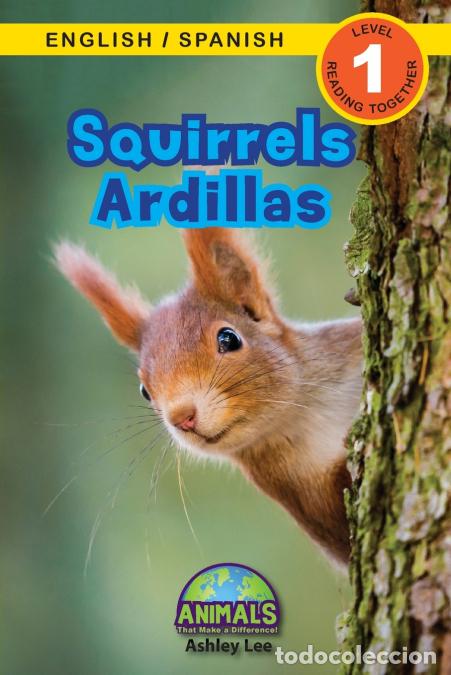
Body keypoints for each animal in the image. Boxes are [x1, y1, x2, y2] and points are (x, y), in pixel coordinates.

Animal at [54, 227, 362, 566]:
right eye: (144, 391)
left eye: (229, 338)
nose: (182, 417)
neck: (305, 412)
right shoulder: (303, 498)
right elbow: (342, 531)